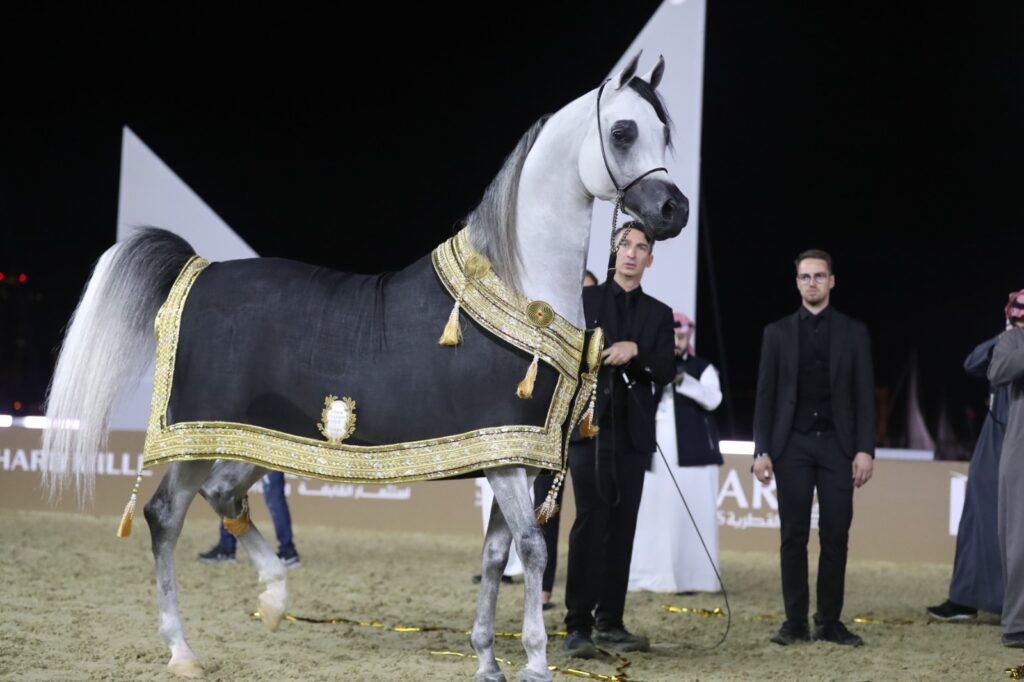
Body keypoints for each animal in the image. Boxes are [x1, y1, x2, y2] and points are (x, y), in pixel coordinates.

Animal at [41, 52, 688, 682]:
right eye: (623, 131)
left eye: (665, 131)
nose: (674, 210)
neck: (516, 287)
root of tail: (196, 270)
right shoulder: (506, 460)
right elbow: (532, 548)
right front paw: (533, 661)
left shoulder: (510, 458)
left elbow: (494, 555)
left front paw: (487, 661)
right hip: (198, 436)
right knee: (163, 515)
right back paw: (182, 651)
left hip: (256, 441)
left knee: (220, 498)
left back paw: (273, 601)